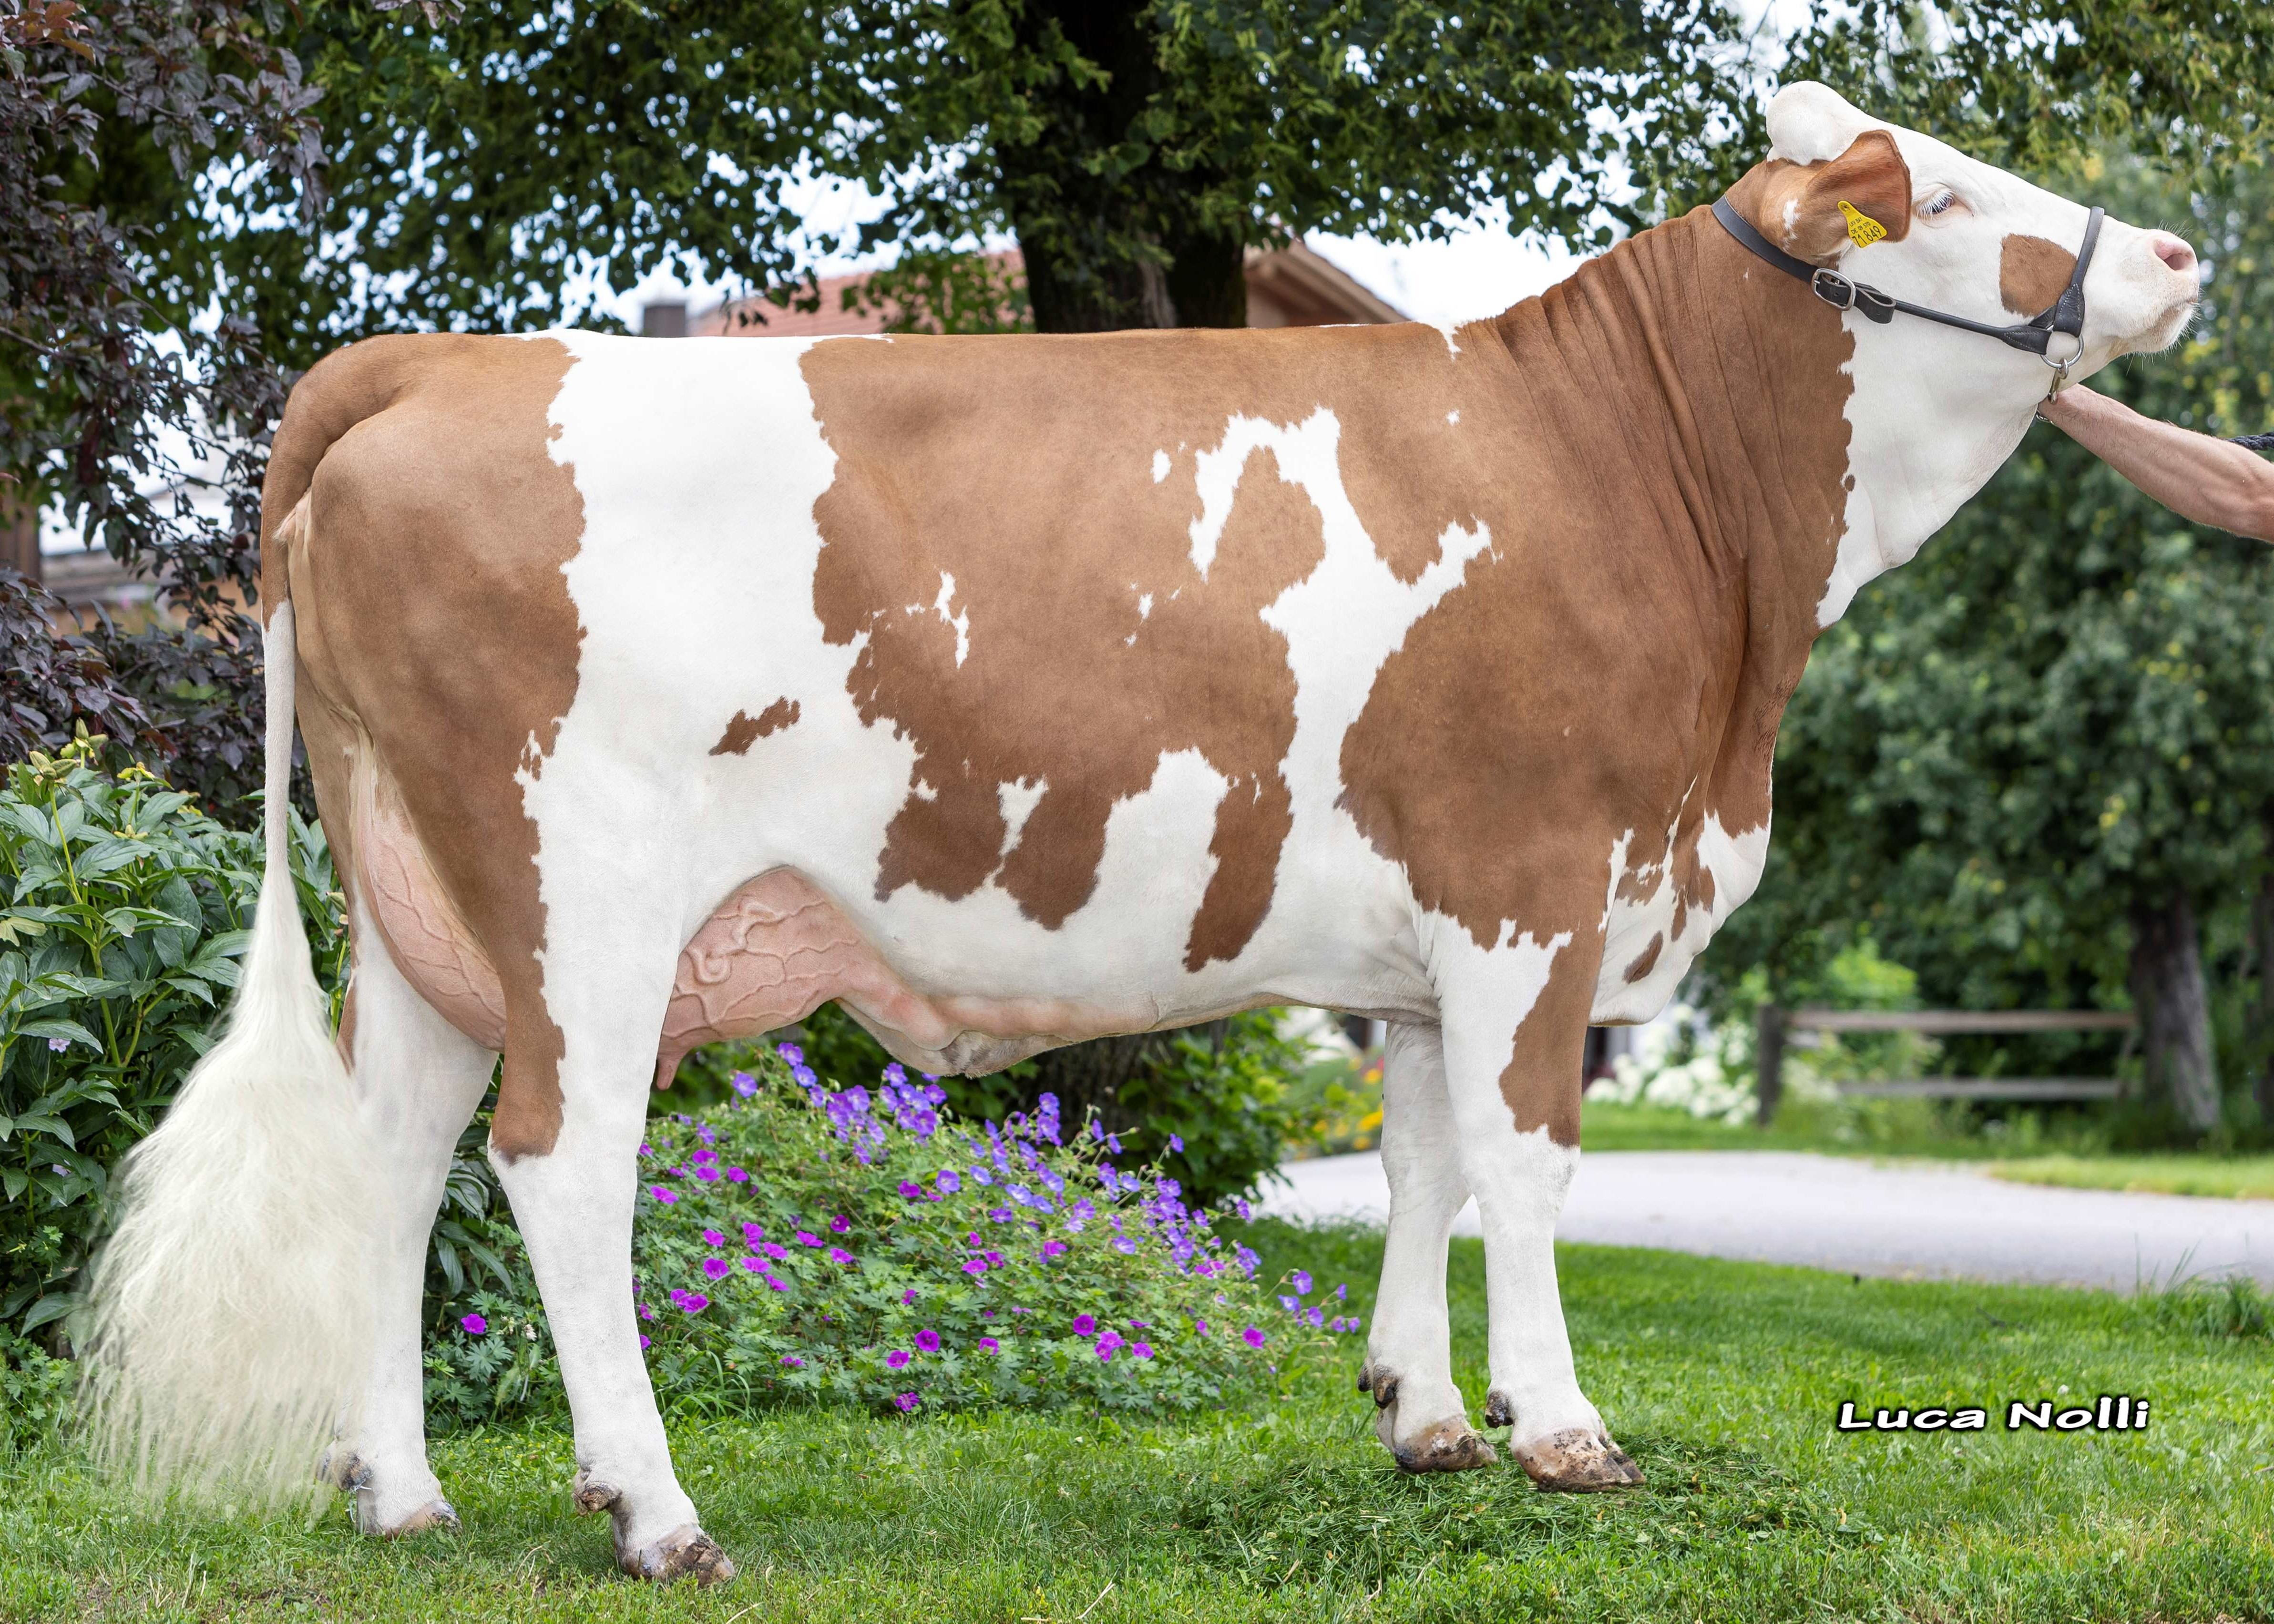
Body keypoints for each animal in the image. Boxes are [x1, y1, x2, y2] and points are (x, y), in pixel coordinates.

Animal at [93, 82, 2201, 1574]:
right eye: (1934, 196)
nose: (2181, 251)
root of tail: (435, 358)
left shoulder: (1427, 932)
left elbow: (1428, 1160)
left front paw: (1423, 1415)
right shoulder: (1534, 888)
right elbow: (1527, 1165)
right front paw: (1560, 1428)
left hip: (426, 910)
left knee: (394, 1153)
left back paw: (401, 1493)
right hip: (579, 895)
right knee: (559, 1158)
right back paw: (655, 1507)